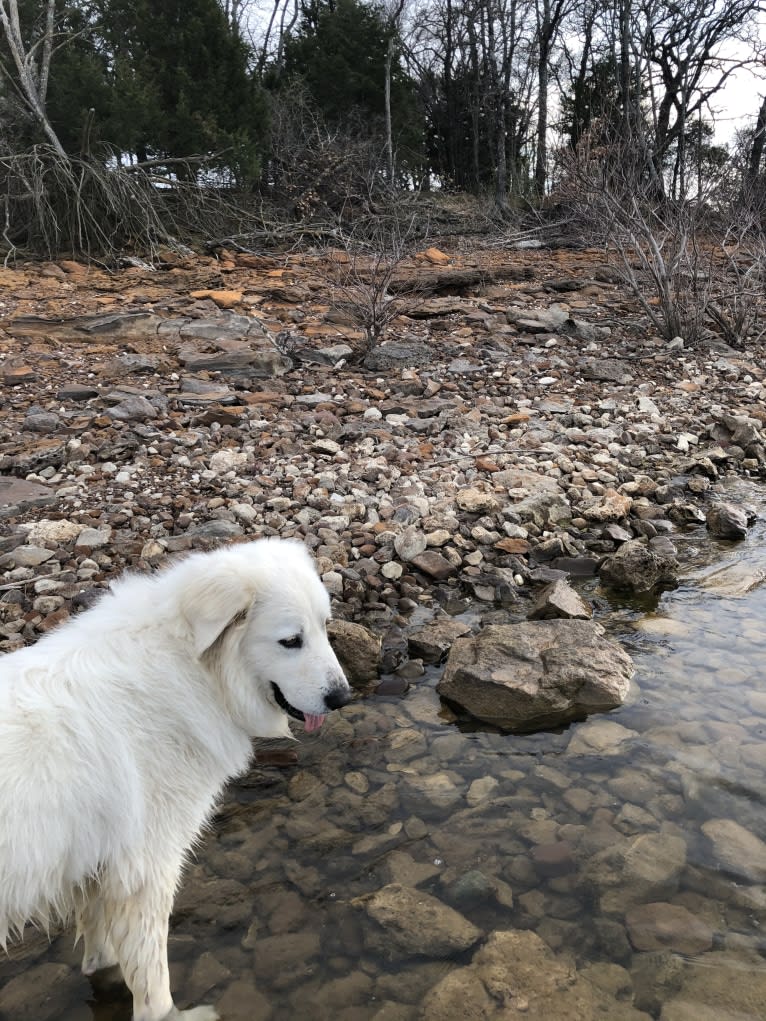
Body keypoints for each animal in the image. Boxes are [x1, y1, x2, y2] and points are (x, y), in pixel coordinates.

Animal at [0, 539, 353, 1016]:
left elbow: (99, 951)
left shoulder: (97, 871)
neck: (193, 668)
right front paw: (172, 1013)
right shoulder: (146, 869)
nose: (342, 698)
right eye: (290, 641)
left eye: (324, 628)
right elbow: (152, 982)